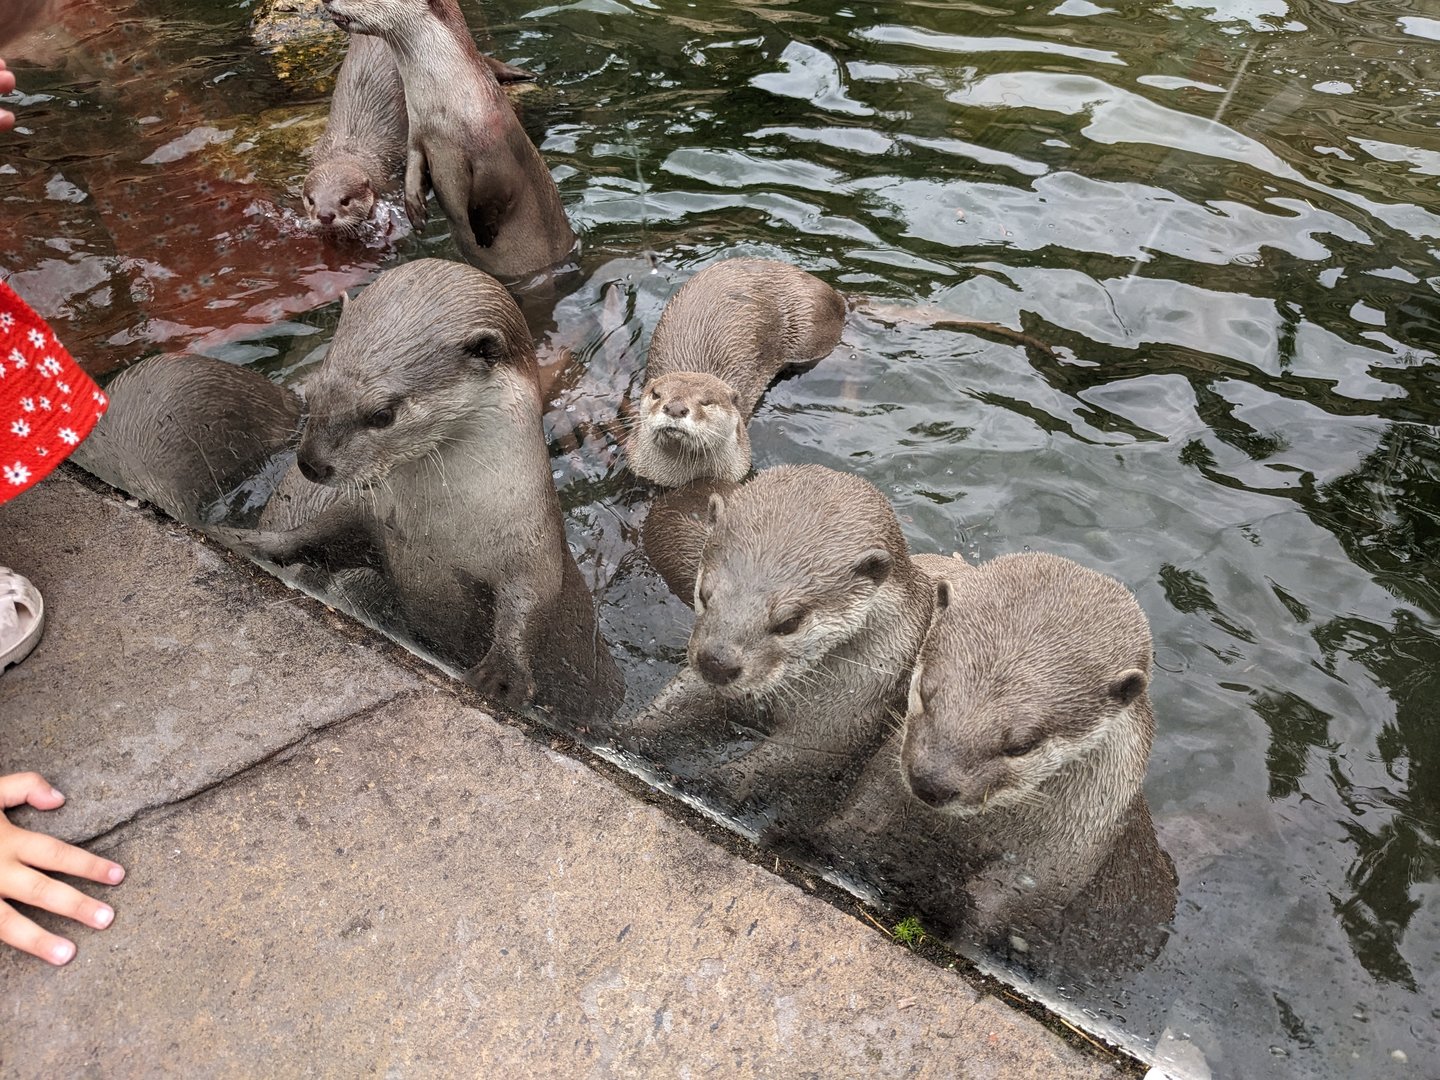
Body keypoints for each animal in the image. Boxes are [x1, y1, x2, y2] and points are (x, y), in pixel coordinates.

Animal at [214, 259, 619, 720]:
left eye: (382, 414)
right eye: (313, 391)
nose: (311, 463)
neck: (442, 530)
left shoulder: (532, 551)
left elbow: (530, 605)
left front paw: (501, 676)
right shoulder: (369, 519)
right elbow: (316, 534)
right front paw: (251, 541)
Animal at [321, 0, 575, 279]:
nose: (325, 1)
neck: (445, 113)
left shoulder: (495, 154)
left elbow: (490, 194)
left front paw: (482, 230)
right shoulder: (417, 136)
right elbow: (413, 168)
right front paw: (415, 210)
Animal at [624, 464, 932, 827]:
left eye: (789, 622)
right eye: (704, 594)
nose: (717, 662)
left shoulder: (851, 714)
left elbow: (789, 757)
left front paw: (714, 785)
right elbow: (679, 699)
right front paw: (625, 730)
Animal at [816, 552, 1176, 977]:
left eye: (1021, 745)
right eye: (925, 693)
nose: (931, 781)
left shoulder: (1054, 864)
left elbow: (993, 914)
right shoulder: (886, 775)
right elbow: (856, 821)